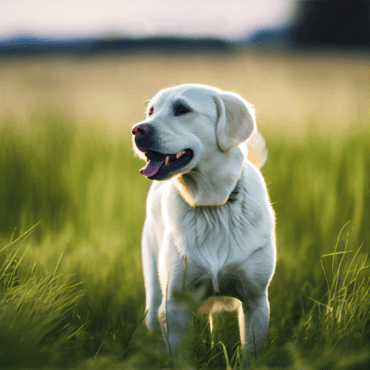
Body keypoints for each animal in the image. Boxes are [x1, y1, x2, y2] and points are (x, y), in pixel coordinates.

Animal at [132, 84, 274, 368]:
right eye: (151, 111)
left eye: (182, 109)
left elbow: (250, 354)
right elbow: (178, 355)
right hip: (154, 290)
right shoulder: (175, 304)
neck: (212, 205)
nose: (137, 130)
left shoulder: (255, 301)